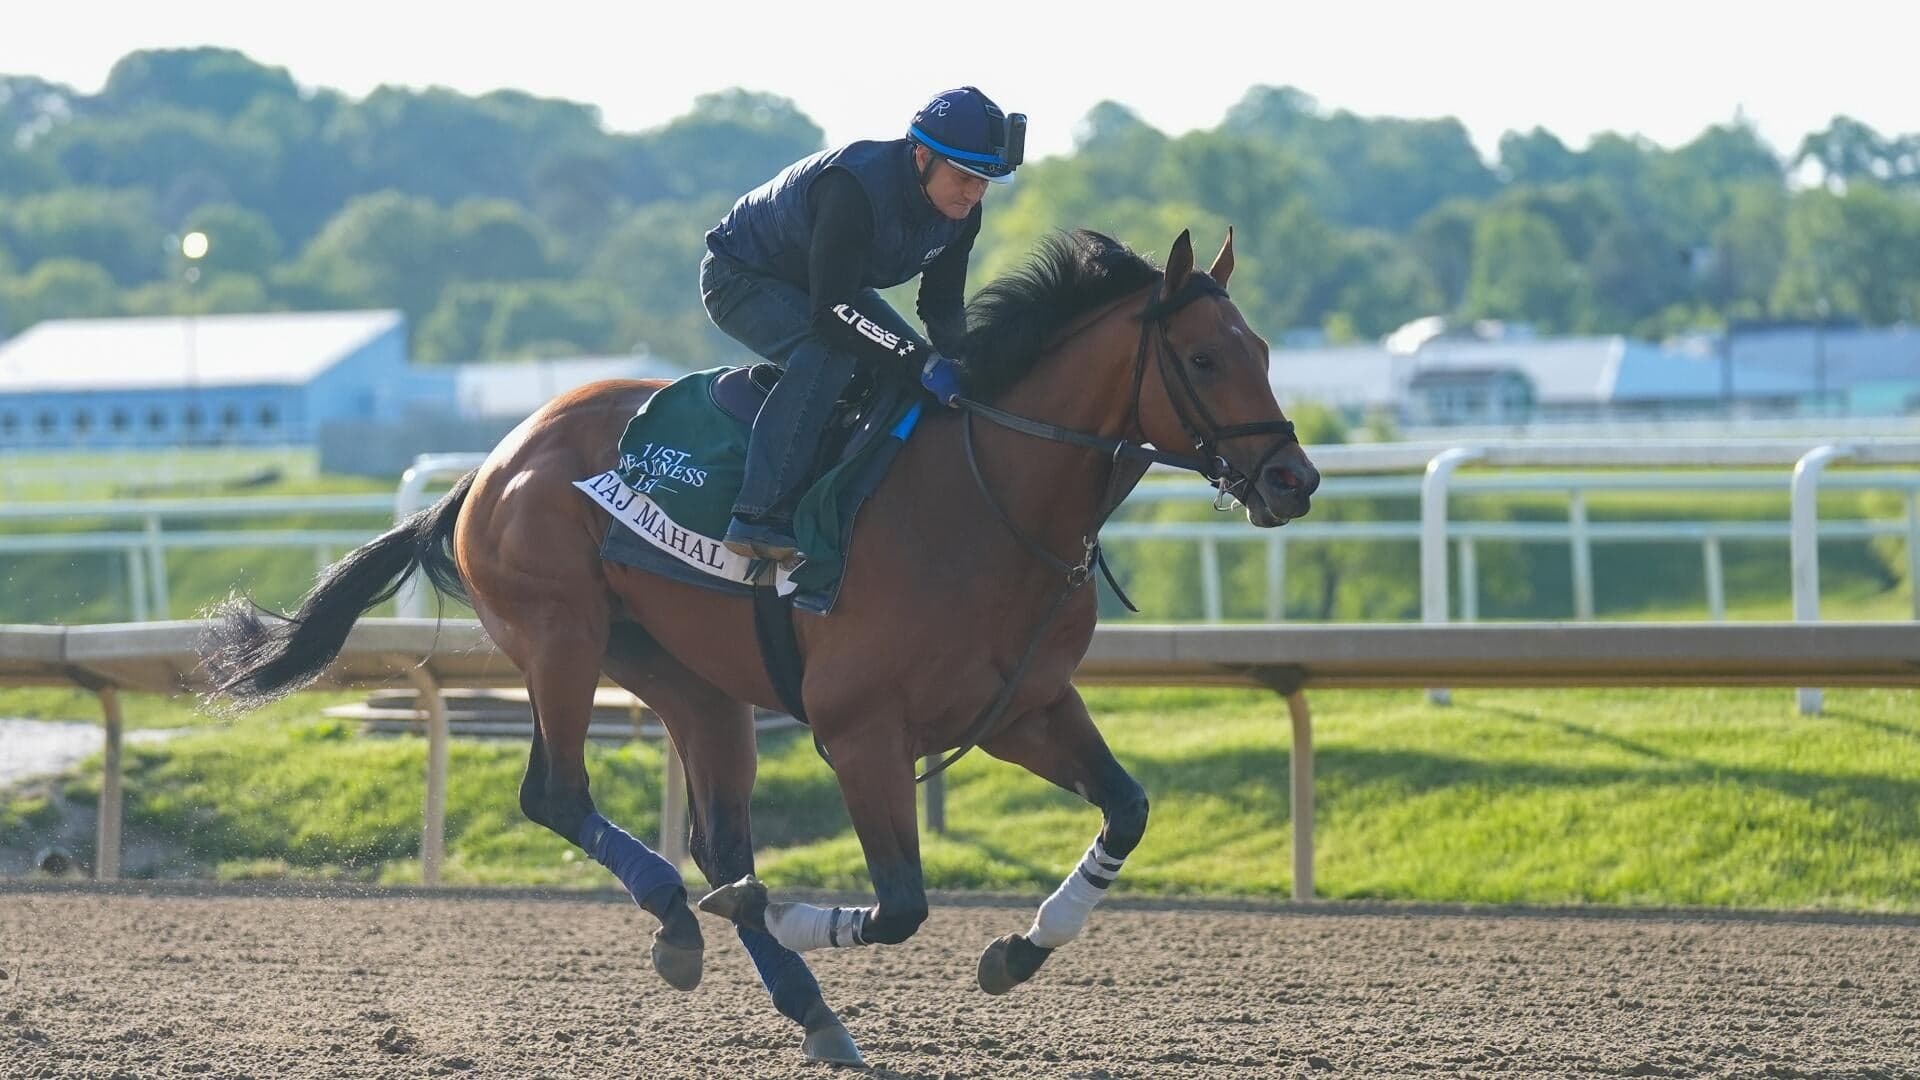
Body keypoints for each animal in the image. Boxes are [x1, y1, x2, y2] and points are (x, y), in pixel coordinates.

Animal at [201, 227, 1319, 1066]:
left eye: (1265, 350)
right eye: (1206, 358)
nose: (1294, 481)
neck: (986, 497)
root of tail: (492, 464)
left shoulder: (1026, 708)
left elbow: (1127, 809)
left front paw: (1018, 949)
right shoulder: (860, 730)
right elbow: (901, 904)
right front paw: (780, 912)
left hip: (690, 682)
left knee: (716, 836)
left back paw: (807, 1007)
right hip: (561, 635)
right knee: (560, 794)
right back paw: (682, 919)